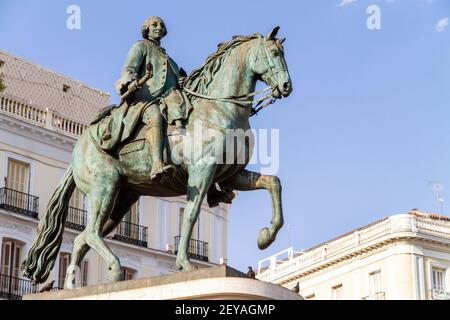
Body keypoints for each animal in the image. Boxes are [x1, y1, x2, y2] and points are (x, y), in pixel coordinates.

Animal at [22, 26, 292, 288]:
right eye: (274, 53)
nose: (287, 86)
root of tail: (78, 148)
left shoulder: (231, 175)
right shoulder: (202, 171)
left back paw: (72, 286)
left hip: (121, 200)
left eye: (283, 53)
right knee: (90, 233)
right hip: (104, 187)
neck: (218, 107)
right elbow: (191, 215)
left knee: (82, 237)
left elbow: (274, 183)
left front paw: (265, 236)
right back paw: (115, 268)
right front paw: (185, 264)